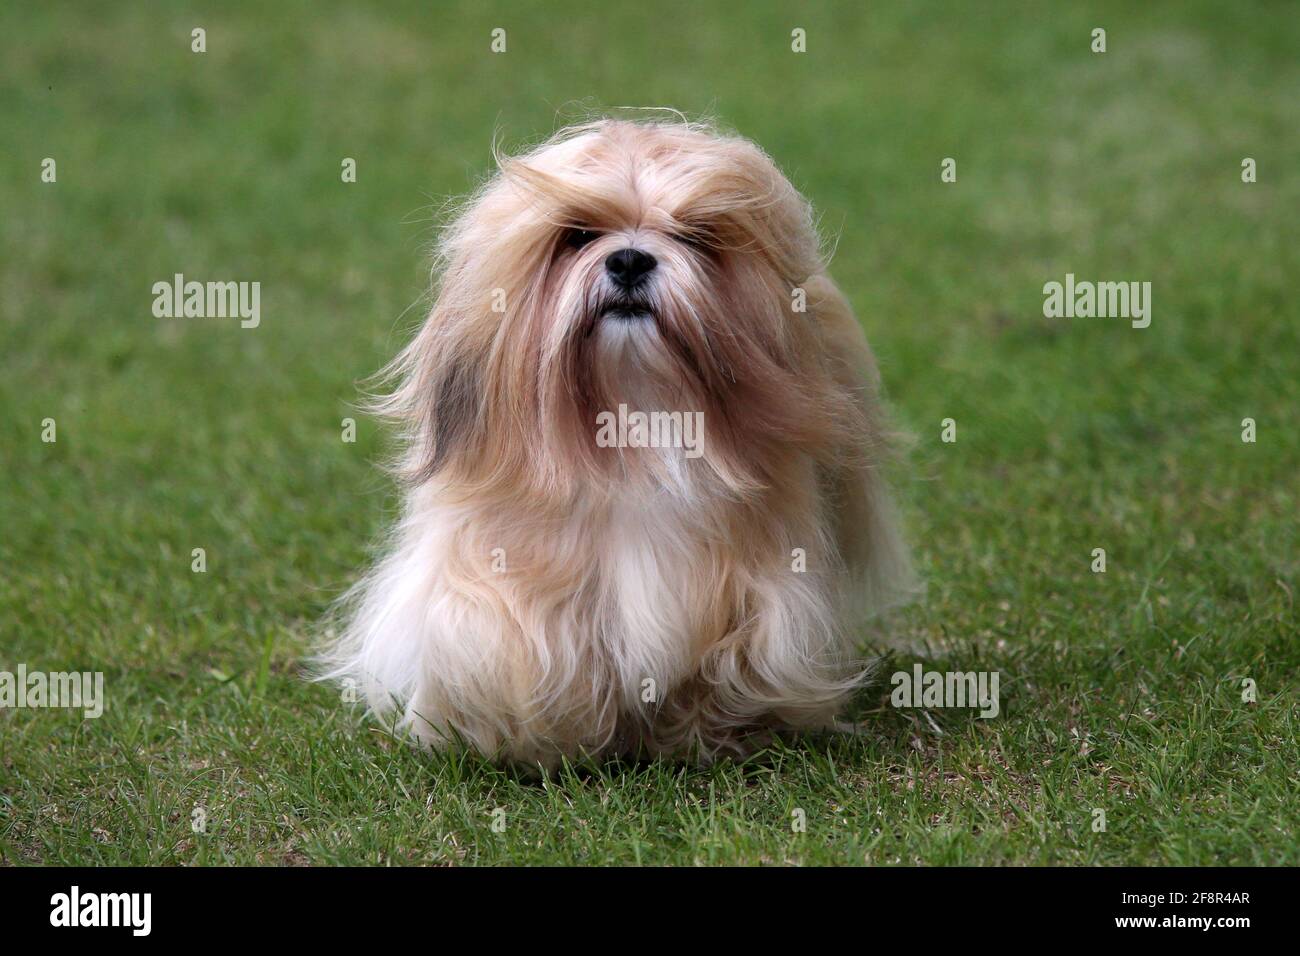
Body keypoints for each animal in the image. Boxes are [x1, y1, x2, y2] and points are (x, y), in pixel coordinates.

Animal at [322, 117, 915, 770]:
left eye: (695, 237)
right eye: (578, 235)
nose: (630, 259)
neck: (634, 422)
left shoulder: (757, 593)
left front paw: (707, 736)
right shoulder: (506, 587)